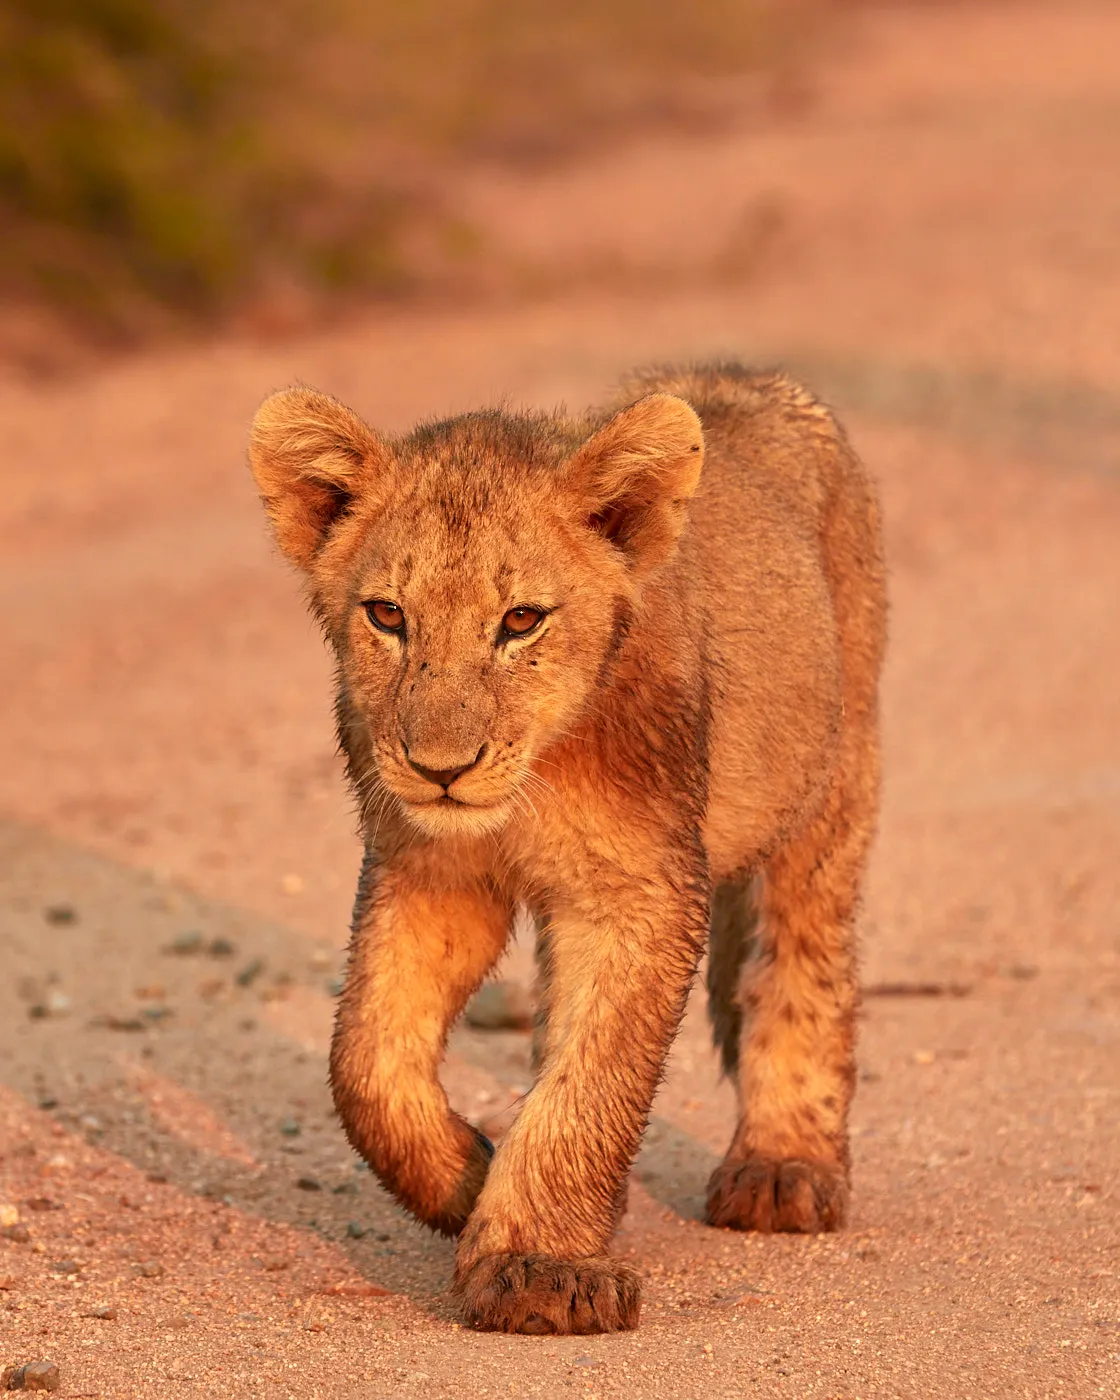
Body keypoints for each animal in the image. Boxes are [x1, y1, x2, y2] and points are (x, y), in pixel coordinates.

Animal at [248, 362, 886, 1335]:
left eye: (521, 621)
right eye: (388, 614)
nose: (441, 768)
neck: (531, 787)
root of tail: (747, 374)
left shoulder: (643, 889)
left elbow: (595, 1078)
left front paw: (537, 1265)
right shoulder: (430, 872)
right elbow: (364, 1060)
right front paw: (466, 1179)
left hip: (832, 779)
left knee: (803, 956)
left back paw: (784, 1166)